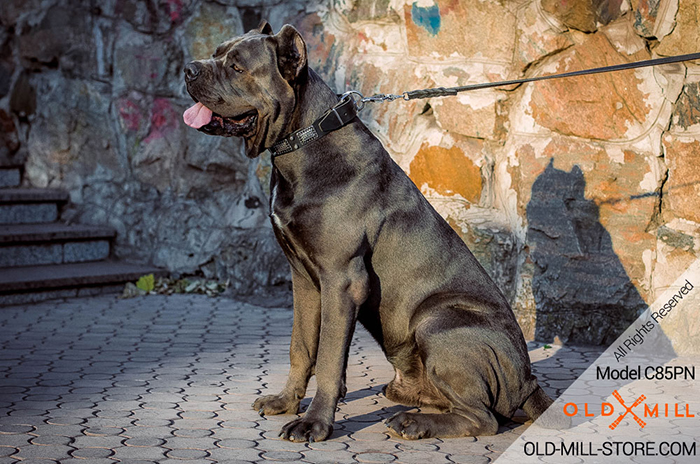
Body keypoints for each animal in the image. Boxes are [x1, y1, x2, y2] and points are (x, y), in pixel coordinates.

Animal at [183, 21, 556, 442]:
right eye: (217, 53)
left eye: (236, 66)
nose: (189, 69)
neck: (305, 138)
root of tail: (528, 381)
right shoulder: (304, 279)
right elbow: (301, 346)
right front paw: (286, 401)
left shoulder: (341, 279)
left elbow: (329, 357)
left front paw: (314, 422)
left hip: (438, 320)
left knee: (483, 418)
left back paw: (414, 422)